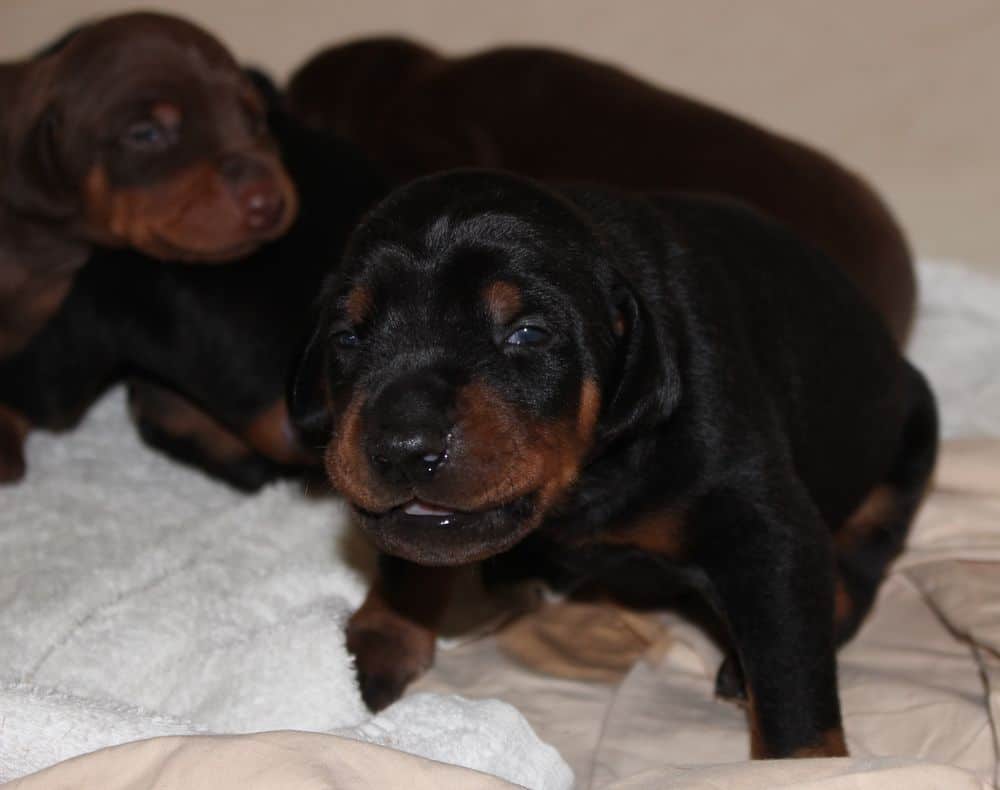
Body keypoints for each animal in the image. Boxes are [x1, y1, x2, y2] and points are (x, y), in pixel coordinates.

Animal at [292, 172, 936, 760]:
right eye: (347, 338)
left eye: (528, 333)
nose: (404, 446)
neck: (588, 478)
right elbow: (409, 563)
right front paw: (380, 640)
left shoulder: (763, 525)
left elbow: (791, 673)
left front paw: (804, 768)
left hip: (911, 433)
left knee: (859, 557)